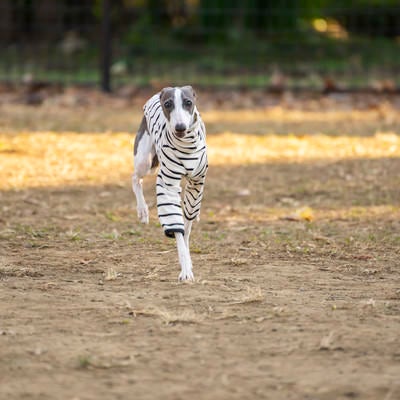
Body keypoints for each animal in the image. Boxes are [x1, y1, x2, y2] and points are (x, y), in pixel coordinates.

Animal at [133, 86, 208, 282]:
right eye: (168, 104)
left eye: (188, 102)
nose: (180, 127)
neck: (185, 146)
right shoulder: (167, 185)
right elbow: (177, 227)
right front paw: (186, 268)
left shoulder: (197, 182)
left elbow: (187, 225)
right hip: (145, 159)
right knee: (135, 178)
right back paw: (142, 211)